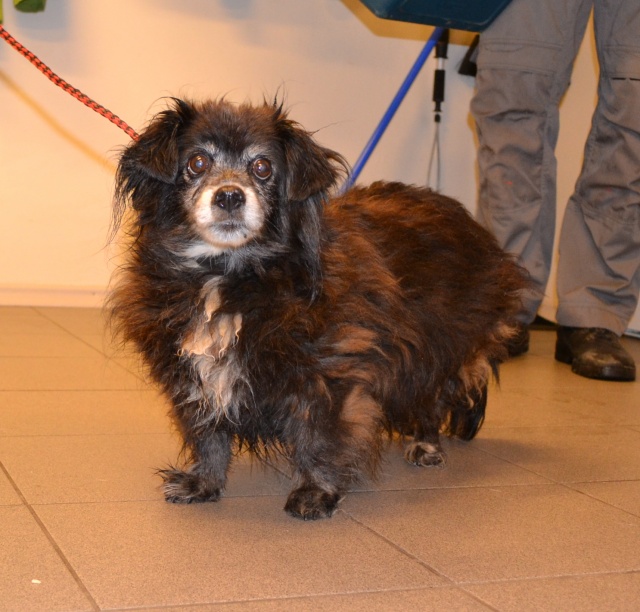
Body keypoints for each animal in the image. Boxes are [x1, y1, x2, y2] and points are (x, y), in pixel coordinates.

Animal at [110, 98, 527, 520]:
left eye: (262, 167)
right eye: (196, 162)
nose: (229, 196)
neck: (228, 276)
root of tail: (471, 222)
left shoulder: (331, 372)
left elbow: (319, 437)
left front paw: (316, 491)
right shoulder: (193, 374)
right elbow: (206, 432)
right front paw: (205, 482)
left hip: (434, 347)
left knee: (431, 398)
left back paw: (425, 443)